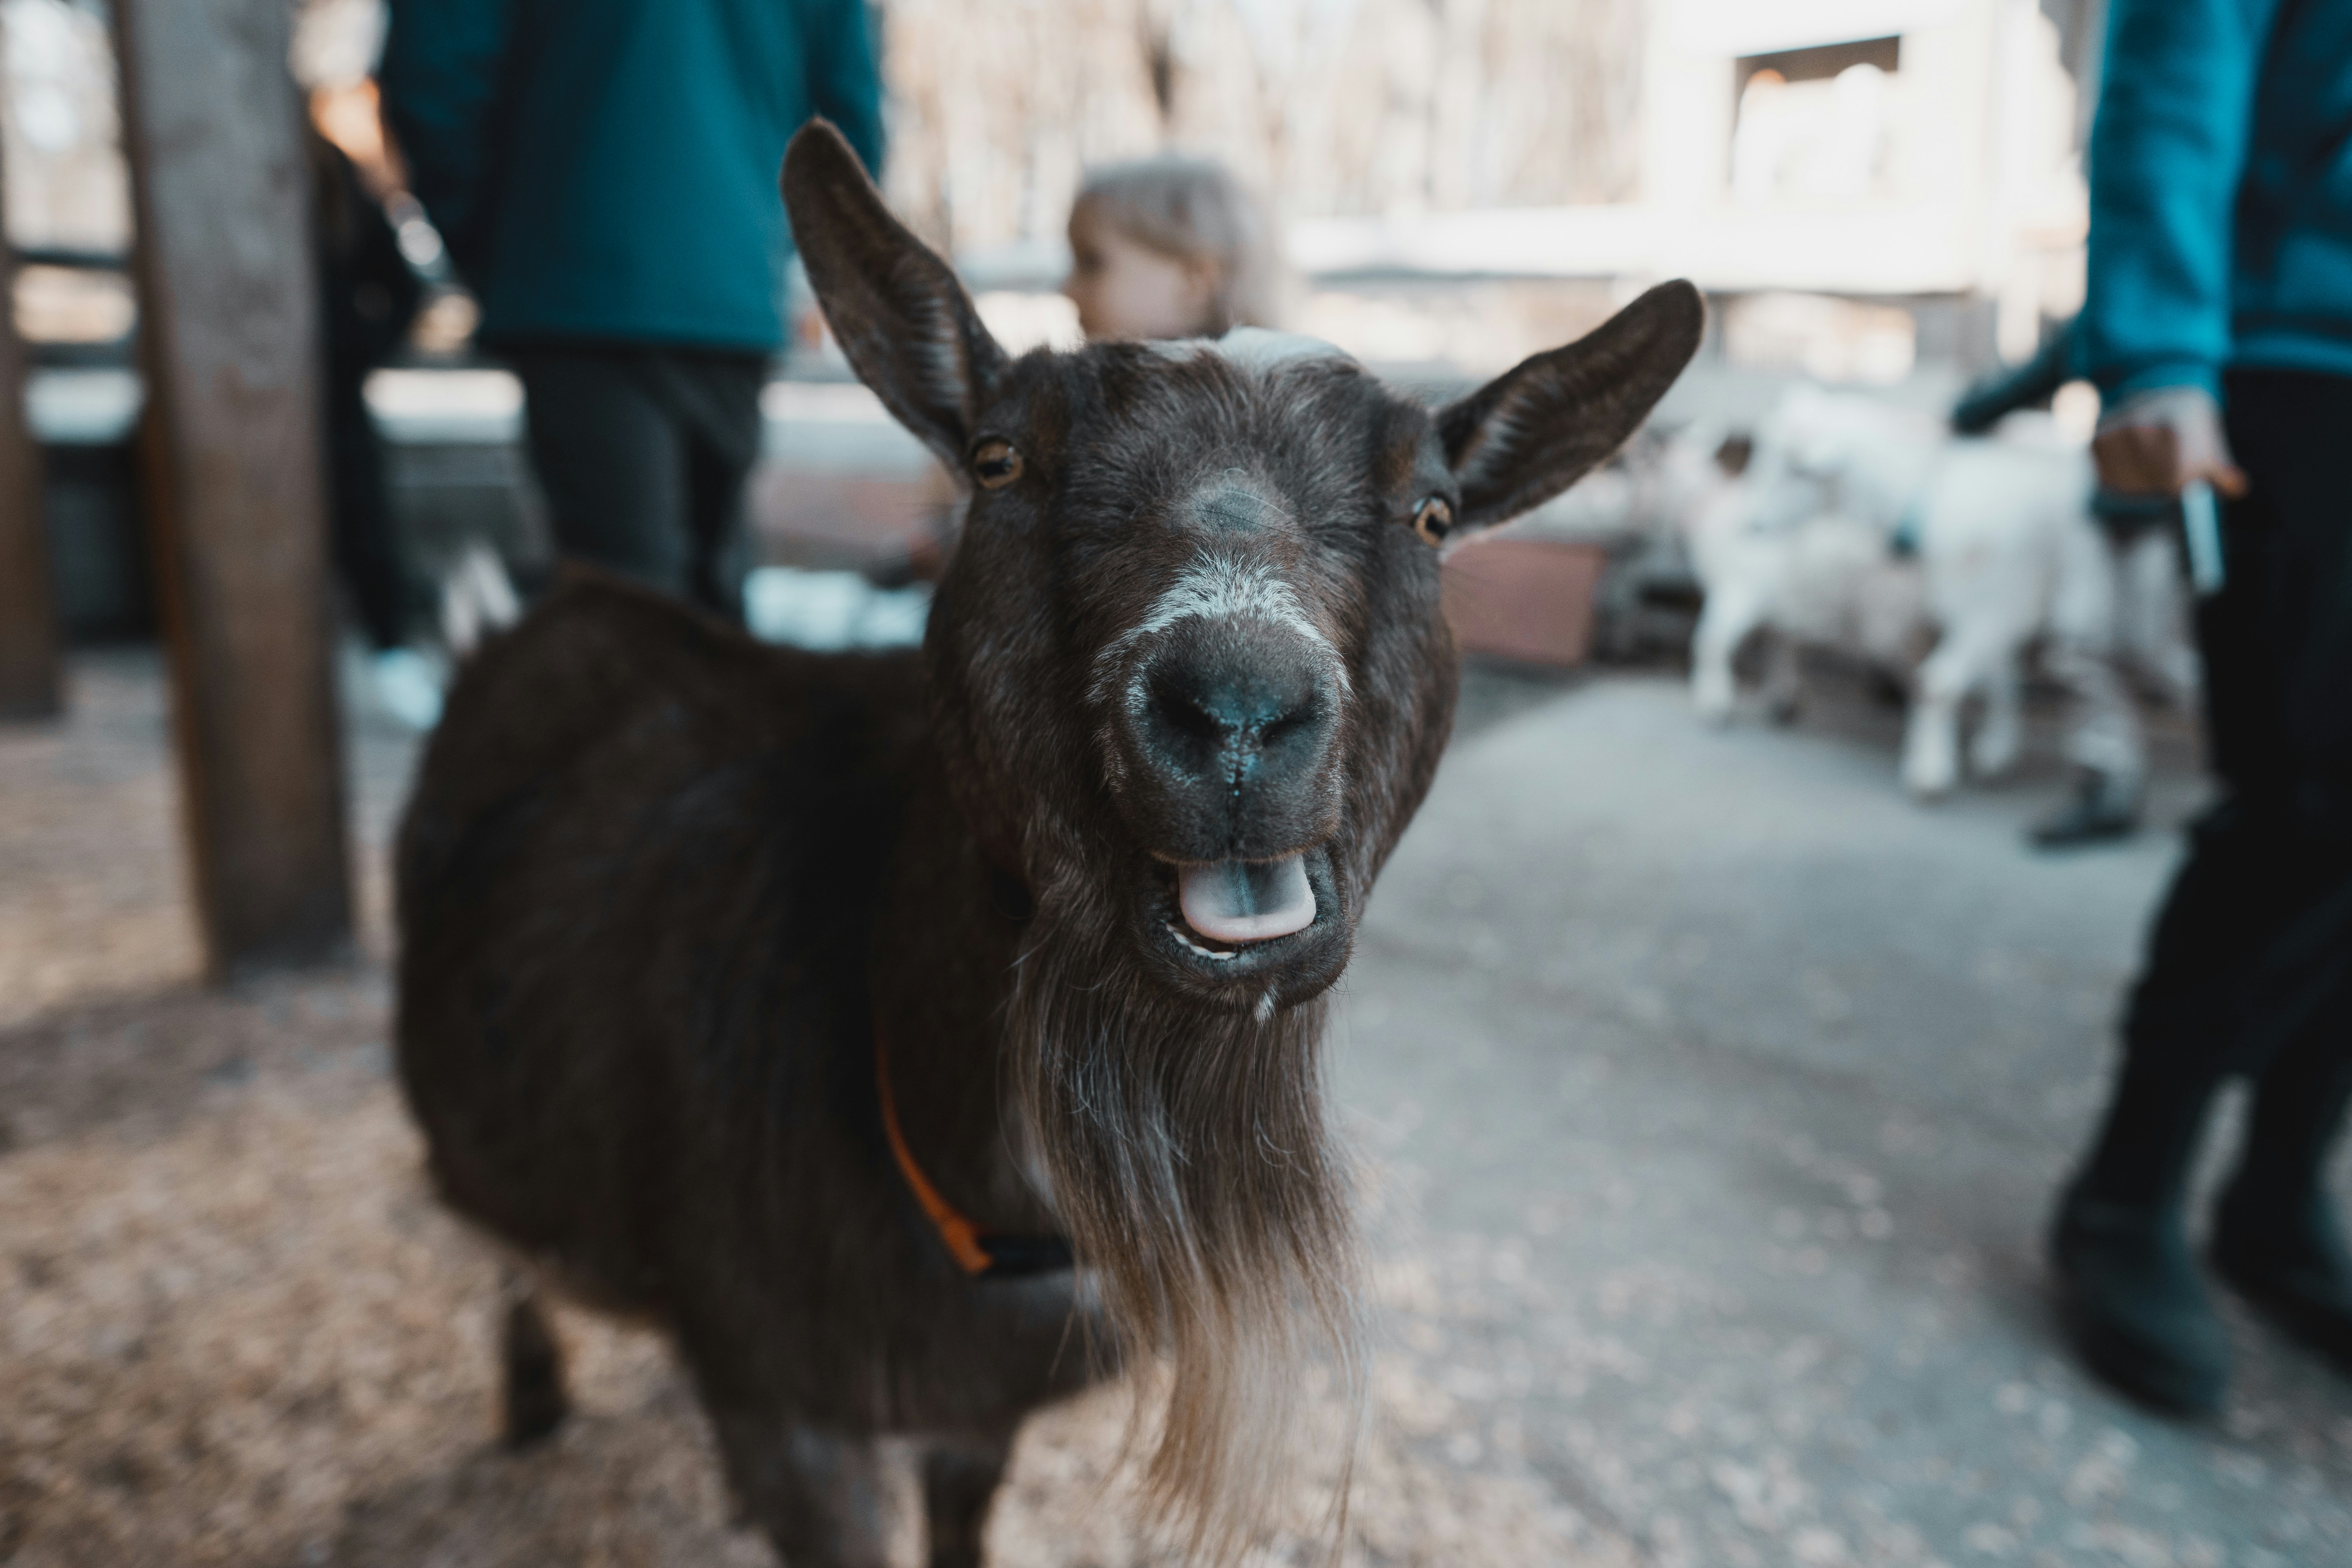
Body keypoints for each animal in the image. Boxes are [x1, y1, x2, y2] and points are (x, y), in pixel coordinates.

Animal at [393, 121, 1702, 1567]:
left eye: (1432, 510)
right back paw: (529, 1403)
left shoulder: (976, 1412)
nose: (1237, 705)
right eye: (997, 460)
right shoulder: (786, 1400)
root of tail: (523, 615)